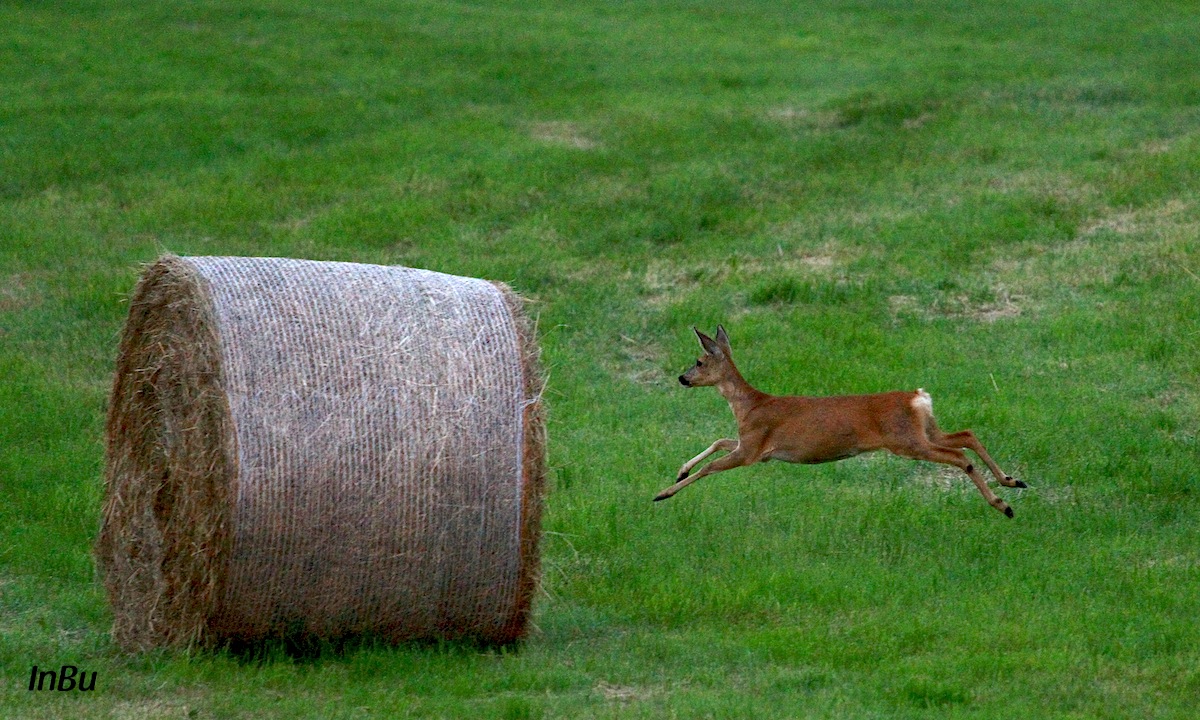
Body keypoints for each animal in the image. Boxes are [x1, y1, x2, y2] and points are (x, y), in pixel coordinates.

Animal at [652, 326, 1027, 518]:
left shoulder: (752, 449)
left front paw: (663, 493)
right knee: (966, 434)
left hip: (905, 441)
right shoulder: (752, 444)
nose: (682, 379)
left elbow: (711, 467)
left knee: (959, 456)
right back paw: (1012, 481)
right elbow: (718, 441)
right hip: (925, 430)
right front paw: (679, 471)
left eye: (699, 361)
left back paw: (1003, 505)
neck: (749, 406)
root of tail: (917, 397)